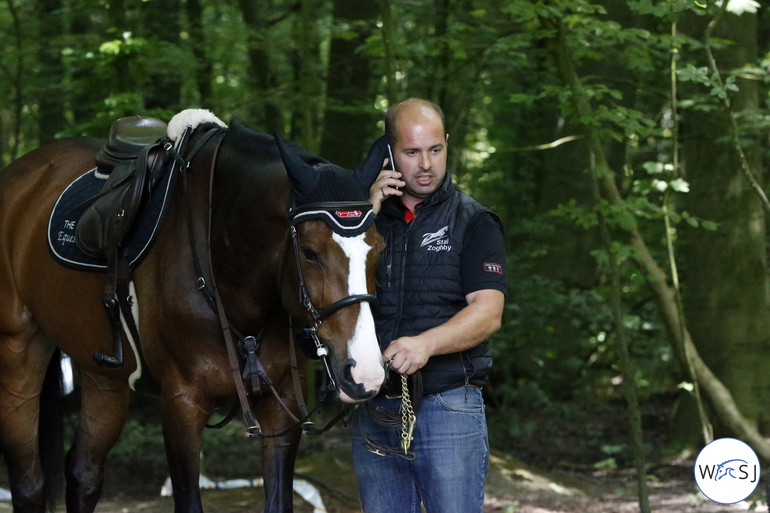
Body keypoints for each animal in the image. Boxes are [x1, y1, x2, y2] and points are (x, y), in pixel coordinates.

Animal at [0, 110, 384, 510]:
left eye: (380, 247)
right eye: (309, 252)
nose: (366, 372)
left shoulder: (282, 408)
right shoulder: (182, 405)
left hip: (103, 374)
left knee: (83, 473)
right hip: (18, 351)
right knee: (29, 483)